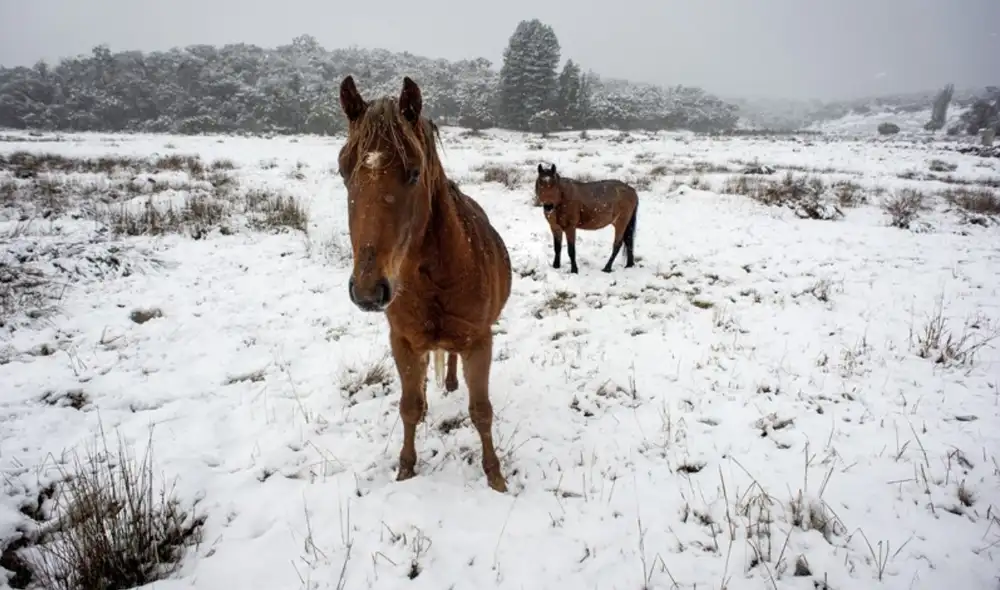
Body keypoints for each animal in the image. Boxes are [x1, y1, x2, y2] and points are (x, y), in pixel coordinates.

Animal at [337, 75, 513, 492]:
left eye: (415, 172)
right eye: (342, 170)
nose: (368, 291)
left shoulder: (480, 342)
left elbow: (481, 412)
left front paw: (495, 476)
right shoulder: (402, 342)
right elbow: (409, 407)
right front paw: (405, 468)